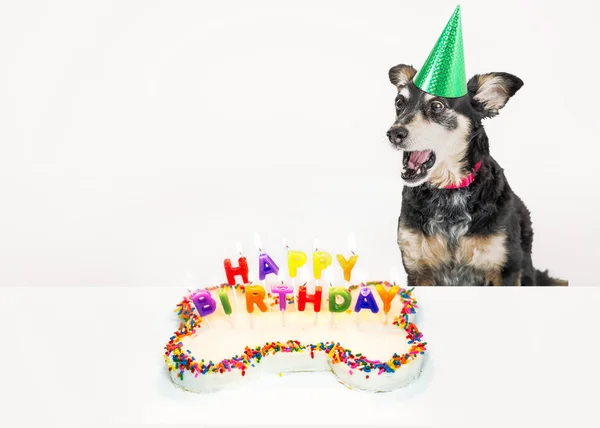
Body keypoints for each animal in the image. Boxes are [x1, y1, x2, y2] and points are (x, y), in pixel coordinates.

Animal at [386, 63, 564, 286]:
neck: (449, 190)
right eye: (399, 102)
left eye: (437, 106)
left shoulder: (507, 268)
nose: (394, 133)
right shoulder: (418, 269)